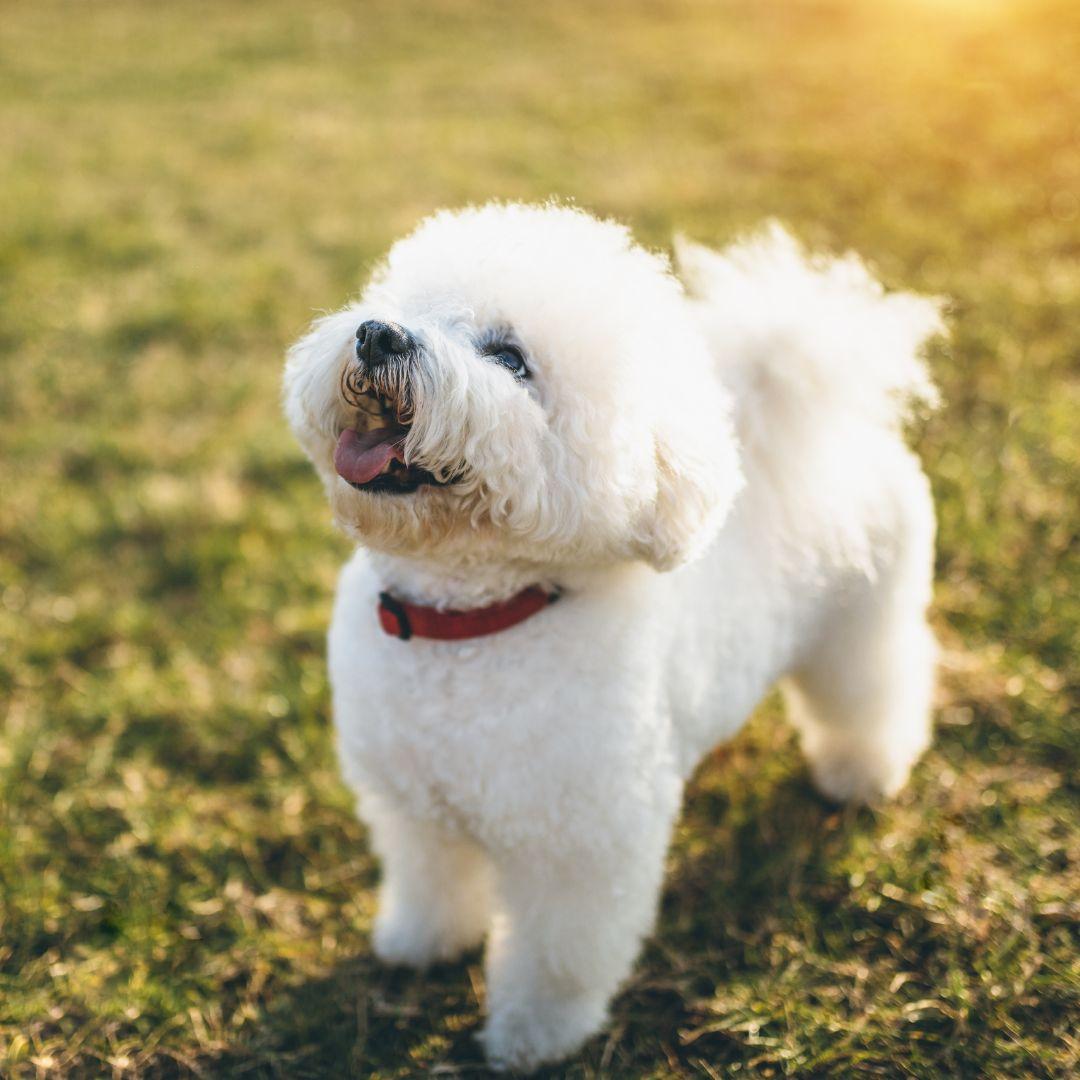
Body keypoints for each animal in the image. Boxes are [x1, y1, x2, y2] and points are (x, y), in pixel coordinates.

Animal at [282, 200, 941, 1071]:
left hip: (862, 625)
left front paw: (532, 1038)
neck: (468, 624)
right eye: (408, 307)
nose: (379, 335)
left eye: (510, 359)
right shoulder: (413, 805)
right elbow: (431, 883)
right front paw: (421, 945)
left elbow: (556, 957)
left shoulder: (581, 844)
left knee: (875, 692)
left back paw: (861, 774)